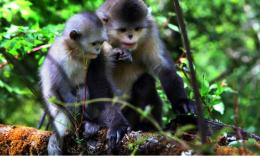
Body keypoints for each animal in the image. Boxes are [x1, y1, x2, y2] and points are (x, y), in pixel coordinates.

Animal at [38, 12, 130, 155]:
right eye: (94, 43)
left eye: (100, 42)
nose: (97, 49)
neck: (77, 54)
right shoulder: (58, 54)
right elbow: (53, 91)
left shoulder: (99, 57)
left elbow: (101, 92)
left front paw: (118, 125)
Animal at [96, 0, 196, 130]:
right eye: (122, 30)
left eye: (137, 28)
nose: (130, 36)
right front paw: (117, 125)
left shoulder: (150, 32)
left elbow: (165, 70)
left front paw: (182, 102)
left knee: (146, 81)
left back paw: (146, 126)